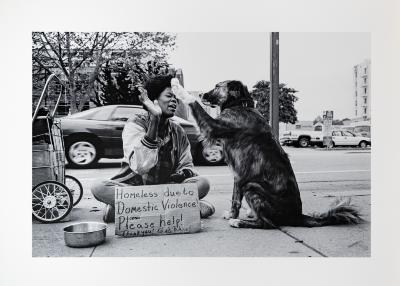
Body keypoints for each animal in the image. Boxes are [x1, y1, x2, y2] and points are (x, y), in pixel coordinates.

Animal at [188, 80, 362, 228]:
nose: (201, 94)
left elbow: (235, 199)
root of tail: (297, 216)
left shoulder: (215, 128)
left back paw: (239, 222)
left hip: (252, 186)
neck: (240, 105)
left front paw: (184, 93)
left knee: (268, 224)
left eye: (217, 86)